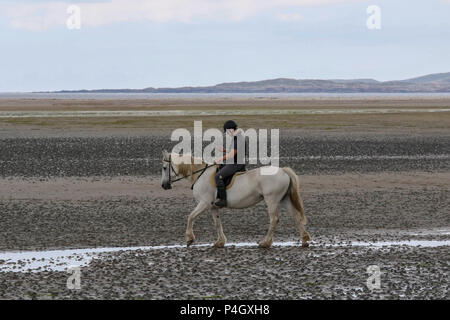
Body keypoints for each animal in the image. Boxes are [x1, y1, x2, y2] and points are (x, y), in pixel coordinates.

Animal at [160, 151, 312, 249]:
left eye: (164, 167)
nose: (164, 185)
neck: (200, 175)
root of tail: (283, 171)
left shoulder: (204, 204)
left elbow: (190, 217)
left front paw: (189, 239)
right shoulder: (213, 207)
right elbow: (217, 223)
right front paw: (220, 242)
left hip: (272, 200)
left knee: (274, 219)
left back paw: (265, 243)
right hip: (284, 199)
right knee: (296, 217)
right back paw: (304, 240)